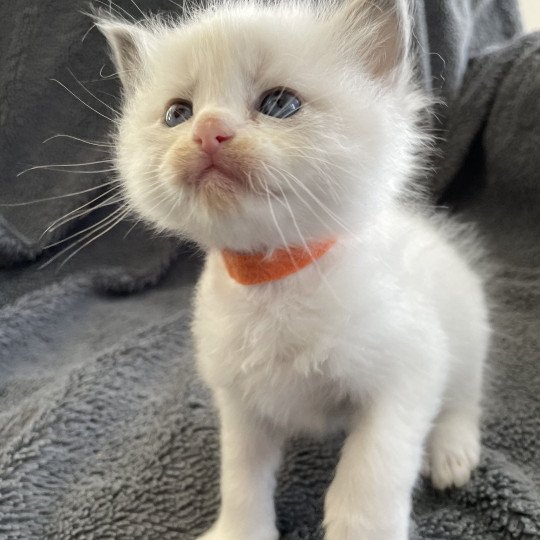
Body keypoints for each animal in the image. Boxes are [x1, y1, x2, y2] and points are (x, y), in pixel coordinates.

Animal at [97, 2, 490, 536]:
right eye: (177, 113)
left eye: (280, 104)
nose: (207, 130)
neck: (274, 278)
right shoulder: (241, 402)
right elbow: (241, 477)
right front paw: (241, 531)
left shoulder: (409, 370)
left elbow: (369, 475)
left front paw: (360, 526)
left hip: (465, 329)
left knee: (463, 397)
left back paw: (452, 453)